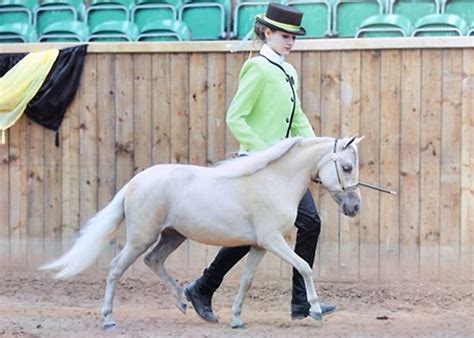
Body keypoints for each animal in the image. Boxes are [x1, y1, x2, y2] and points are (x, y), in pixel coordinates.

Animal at [42, 135, 364, 328]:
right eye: (347, 167)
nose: (355, 206)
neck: (274, 182)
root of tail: (135, 182)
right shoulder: (273, 241)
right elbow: (305, 267)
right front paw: (316, 310)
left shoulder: (259, 246)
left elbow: (246, 281)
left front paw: (236, 319)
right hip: (141, 237)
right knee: (115, 268)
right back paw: (109, 319)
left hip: (172, 235)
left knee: (153, 260)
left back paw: (186, 302)